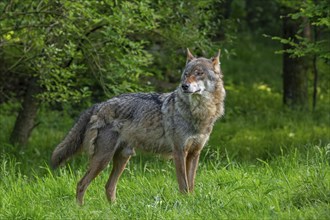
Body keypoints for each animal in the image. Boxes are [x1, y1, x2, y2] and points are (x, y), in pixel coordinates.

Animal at [51, 49, 227, 205]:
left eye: (199, 73)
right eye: (186, 74)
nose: (184, 86)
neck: (199, 113)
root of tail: (99, 104)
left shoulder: (194, 153)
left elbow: (191, 184)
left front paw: (191, 201)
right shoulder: (179, 153)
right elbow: (183, 185)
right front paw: (185, 203)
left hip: (122, 159)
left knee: (108, 186)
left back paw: (114, 208)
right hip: (103, 159)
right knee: (81, 183)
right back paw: (80, 209)